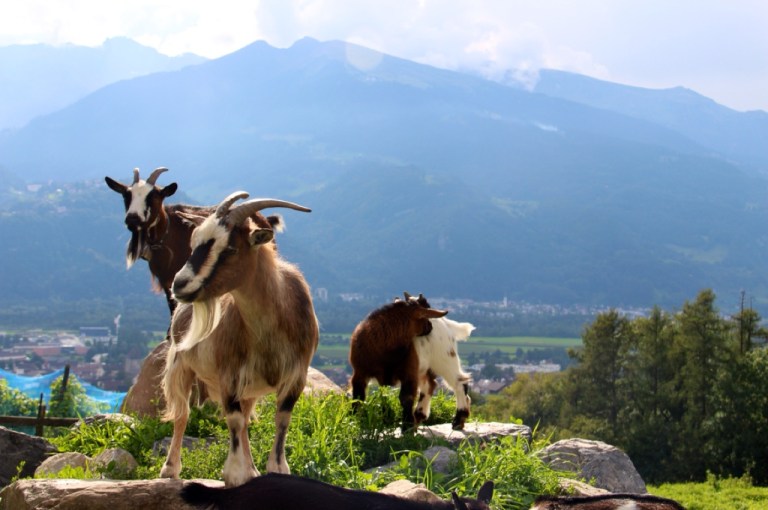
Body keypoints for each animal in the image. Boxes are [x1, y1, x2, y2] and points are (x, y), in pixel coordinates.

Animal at [160, 191, 318, 487]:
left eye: (231, 249)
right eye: (194, 242)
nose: (179, 284)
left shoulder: (296, 375)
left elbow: (281, 418)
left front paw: (275, 469)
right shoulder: (229, 375)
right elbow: (232, 419)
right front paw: (235, 473)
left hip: (250, 387)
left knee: (244, 418)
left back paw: (252, 469)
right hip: (180, 364)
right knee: (183, 414)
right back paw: (170, 469)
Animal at [349, 293, 449, 431]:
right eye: (424, 316)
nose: (431, 327)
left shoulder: (409, 372)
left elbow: (406, 398)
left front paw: (408, 427)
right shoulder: (360, 373)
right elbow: (358, 398)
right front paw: (353, 420)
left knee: (430, 384)